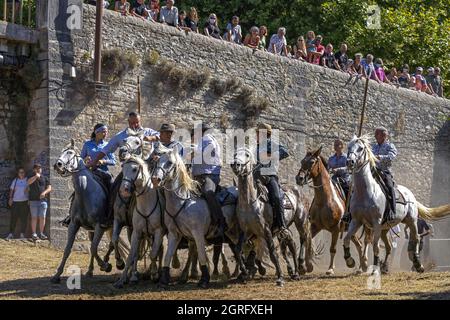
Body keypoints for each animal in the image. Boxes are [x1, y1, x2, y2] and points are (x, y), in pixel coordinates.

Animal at [51, 139, 128, 282]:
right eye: (62, 151)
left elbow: (93, 248)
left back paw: (118, 263)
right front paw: (57, 275)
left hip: (112, 225)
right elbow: (68, 249)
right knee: (105, 243)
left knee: (111, 243)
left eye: (70, 152)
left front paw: (106, 266)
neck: (85, 192)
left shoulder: (99, 226)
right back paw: (90, 270)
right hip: (94, 230)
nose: (57, 165)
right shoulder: (74, 225)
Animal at [230, 148, 312, 284]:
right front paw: (245, 272)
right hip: (284, 228)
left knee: (303, 239)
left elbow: (273, 254)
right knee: (291, 244)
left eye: (247, 154)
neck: (250, 203)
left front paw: (280, 277)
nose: (235, 164)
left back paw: (300, 267)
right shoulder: (245, 231)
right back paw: (294, 273)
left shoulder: (266, 230)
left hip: (301, 221)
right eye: (235, 154)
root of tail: (298, 189)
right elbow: (238, 250)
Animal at [298, 146, 368, 274]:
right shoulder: (315, 226)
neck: (324, 201)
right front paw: (306, 266)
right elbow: (306, 240)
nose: (299, 178)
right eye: (302, 161)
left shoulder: (335, 229)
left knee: (362, 243)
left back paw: (360, 266)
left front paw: (330, 268)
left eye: (312, 162)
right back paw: (360, 268)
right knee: (359, 244)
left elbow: (332, 249)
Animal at [344, 136, 450, 274]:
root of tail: (410, 195)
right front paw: (350, 260)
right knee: (389, 247)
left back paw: (418, 265)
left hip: (411, 221)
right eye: (348, 146)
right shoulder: (356, 221)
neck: (365, 192)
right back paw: (384, 267)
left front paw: (374, 270)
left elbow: (375, 246)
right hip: (385, 229)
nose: (349, 162)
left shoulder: (376, 223)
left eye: (360, 148)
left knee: (416, 239)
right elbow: (347, 238)